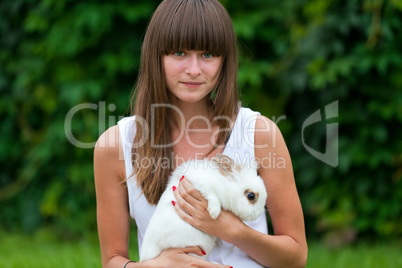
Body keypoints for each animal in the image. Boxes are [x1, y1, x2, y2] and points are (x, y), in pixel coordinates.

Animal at [140, 154, 268, 260]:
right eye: (251, 196)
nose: (258, 214)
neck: (226, 185)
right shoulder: (201, 184)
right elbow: (212, 195)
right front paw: (214, 213)